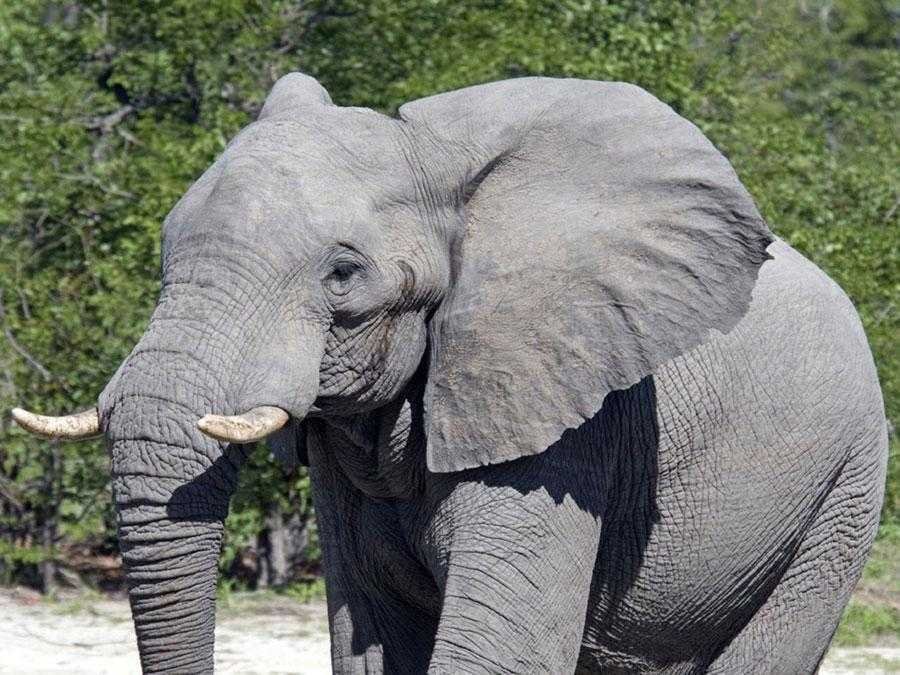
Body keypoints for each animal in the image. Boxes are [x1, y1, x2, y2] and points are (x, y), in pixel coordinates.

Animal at [13, 74, 888, 674]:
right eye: (166, 249)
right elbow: (367, 640)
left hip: (843, 497)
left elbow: (501, 648)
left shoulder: (563, 414)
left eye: (342, 275)